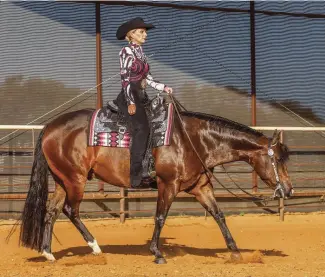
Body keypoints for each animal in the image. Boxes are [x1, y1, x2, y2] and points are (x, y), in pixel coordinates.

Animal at [19, 104, 292, 264]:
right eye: (278, 159)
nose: (288, 190)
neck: (193, 140)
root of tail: (50, 127)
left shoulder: (200, 187)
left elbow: (219, 215)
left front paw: (235, 251)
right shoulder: (167, 185)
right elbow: (160, 217)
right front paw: (157, 253)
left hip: (62, 180)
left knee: (52, 211)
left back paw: (48, 252)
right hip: (75, 179)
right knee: (70, 210)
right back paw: (95, 248)